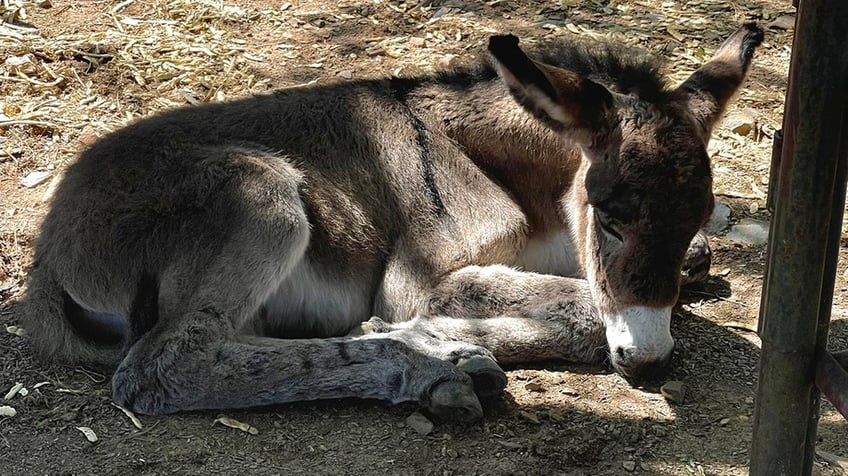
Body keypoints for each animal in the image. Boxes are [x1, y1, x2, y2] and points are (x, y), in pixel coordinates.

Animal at [18, 25, 760, 420]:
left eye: (697, 212)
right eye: (611, 216)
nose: (650, 362)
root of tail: (46, 261)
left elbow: (679, 272)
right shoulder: (420, 279)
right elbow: (584, 310)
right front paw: (424, 335)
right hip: (262, 193)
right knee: (165, 368)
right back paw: (429, 367)